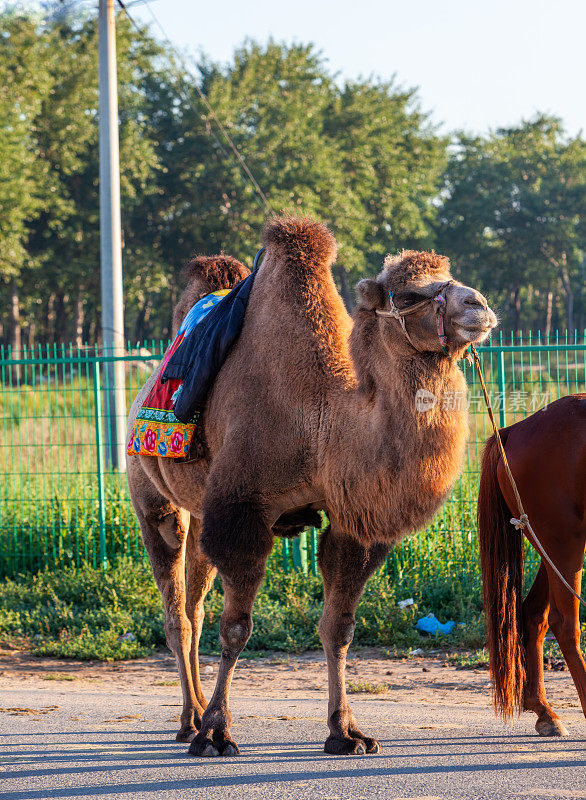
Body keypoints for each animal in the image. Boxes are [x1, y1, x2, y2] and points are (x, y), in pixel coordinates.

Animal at [125, 217, 496, 756]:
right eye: (409, 293)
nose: (479, 306)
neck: (320, 423)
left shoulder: (351, 520)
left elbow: (337, 628)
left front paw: (346, 731)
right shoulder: (242, 508)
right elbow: (236, 629)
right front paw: (218, 731)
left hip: (199, 509)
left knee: (193, 603)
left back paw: (191, 714)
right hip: (152, 498)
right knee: (177, 611)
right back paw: (191, 720)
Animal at [476, 394, 580, 736]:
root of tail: (515, 430)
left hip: (552, 545)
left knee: (534, 613)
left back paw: (544, 711)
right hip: (562, 542)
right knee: (565, 623)